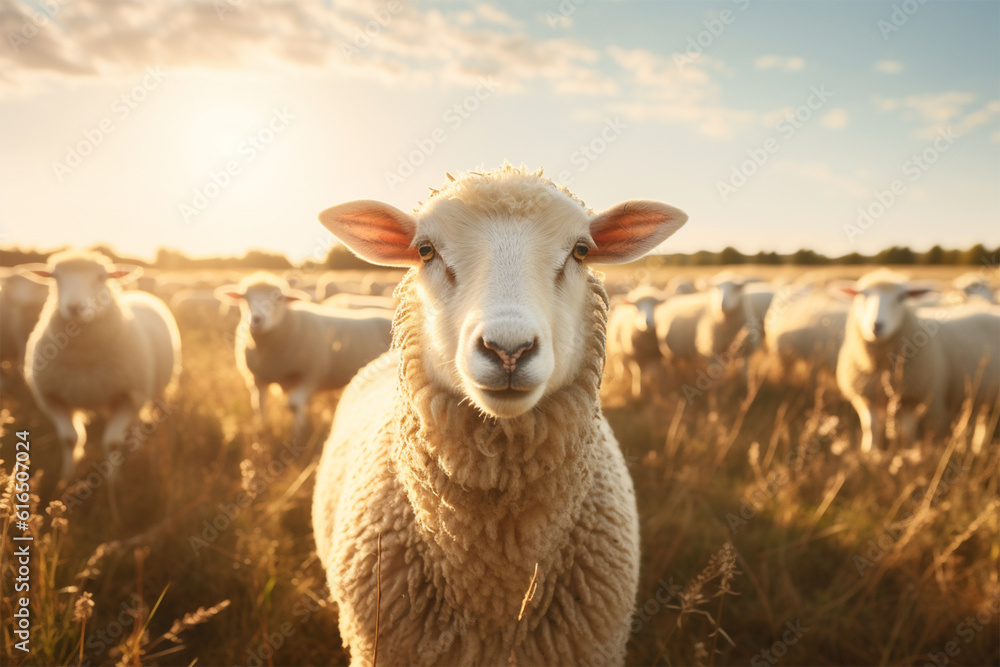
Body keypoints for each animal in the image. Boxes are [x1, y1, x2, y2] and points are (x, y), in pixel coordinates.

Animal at [22, 250, 180, 486]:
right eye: (55, 277)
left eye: (101, 277)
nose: (75, 307)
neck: (83, 359)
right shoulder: (51, 398)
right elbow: (69, 439)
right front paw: (66, 478)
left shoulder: (129, 397)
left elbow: (112, 442)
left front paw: (114, 484)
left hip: (161, 388)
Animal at [217, 272, 392, 438]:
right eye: (244, 297)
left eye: (279, 298)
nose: (257, 320)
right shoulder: (257, 379)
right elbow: (260, 407)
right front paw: (262, 433)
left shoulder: (310, 375)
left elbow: (294, 405)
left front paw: (298, 435)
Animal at [836, 268, 1000, 452]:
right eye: (861, 295)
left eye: (901, 298)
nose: (877, 326)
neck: (883, 364)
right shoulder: (867, 398)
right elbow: (870, 429)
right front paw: (871, 452)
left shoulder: (913, 397)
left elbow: (907, 432)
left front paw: (907, 453)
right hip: (985, 395)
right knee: (983, 420)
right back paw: (979, 448)